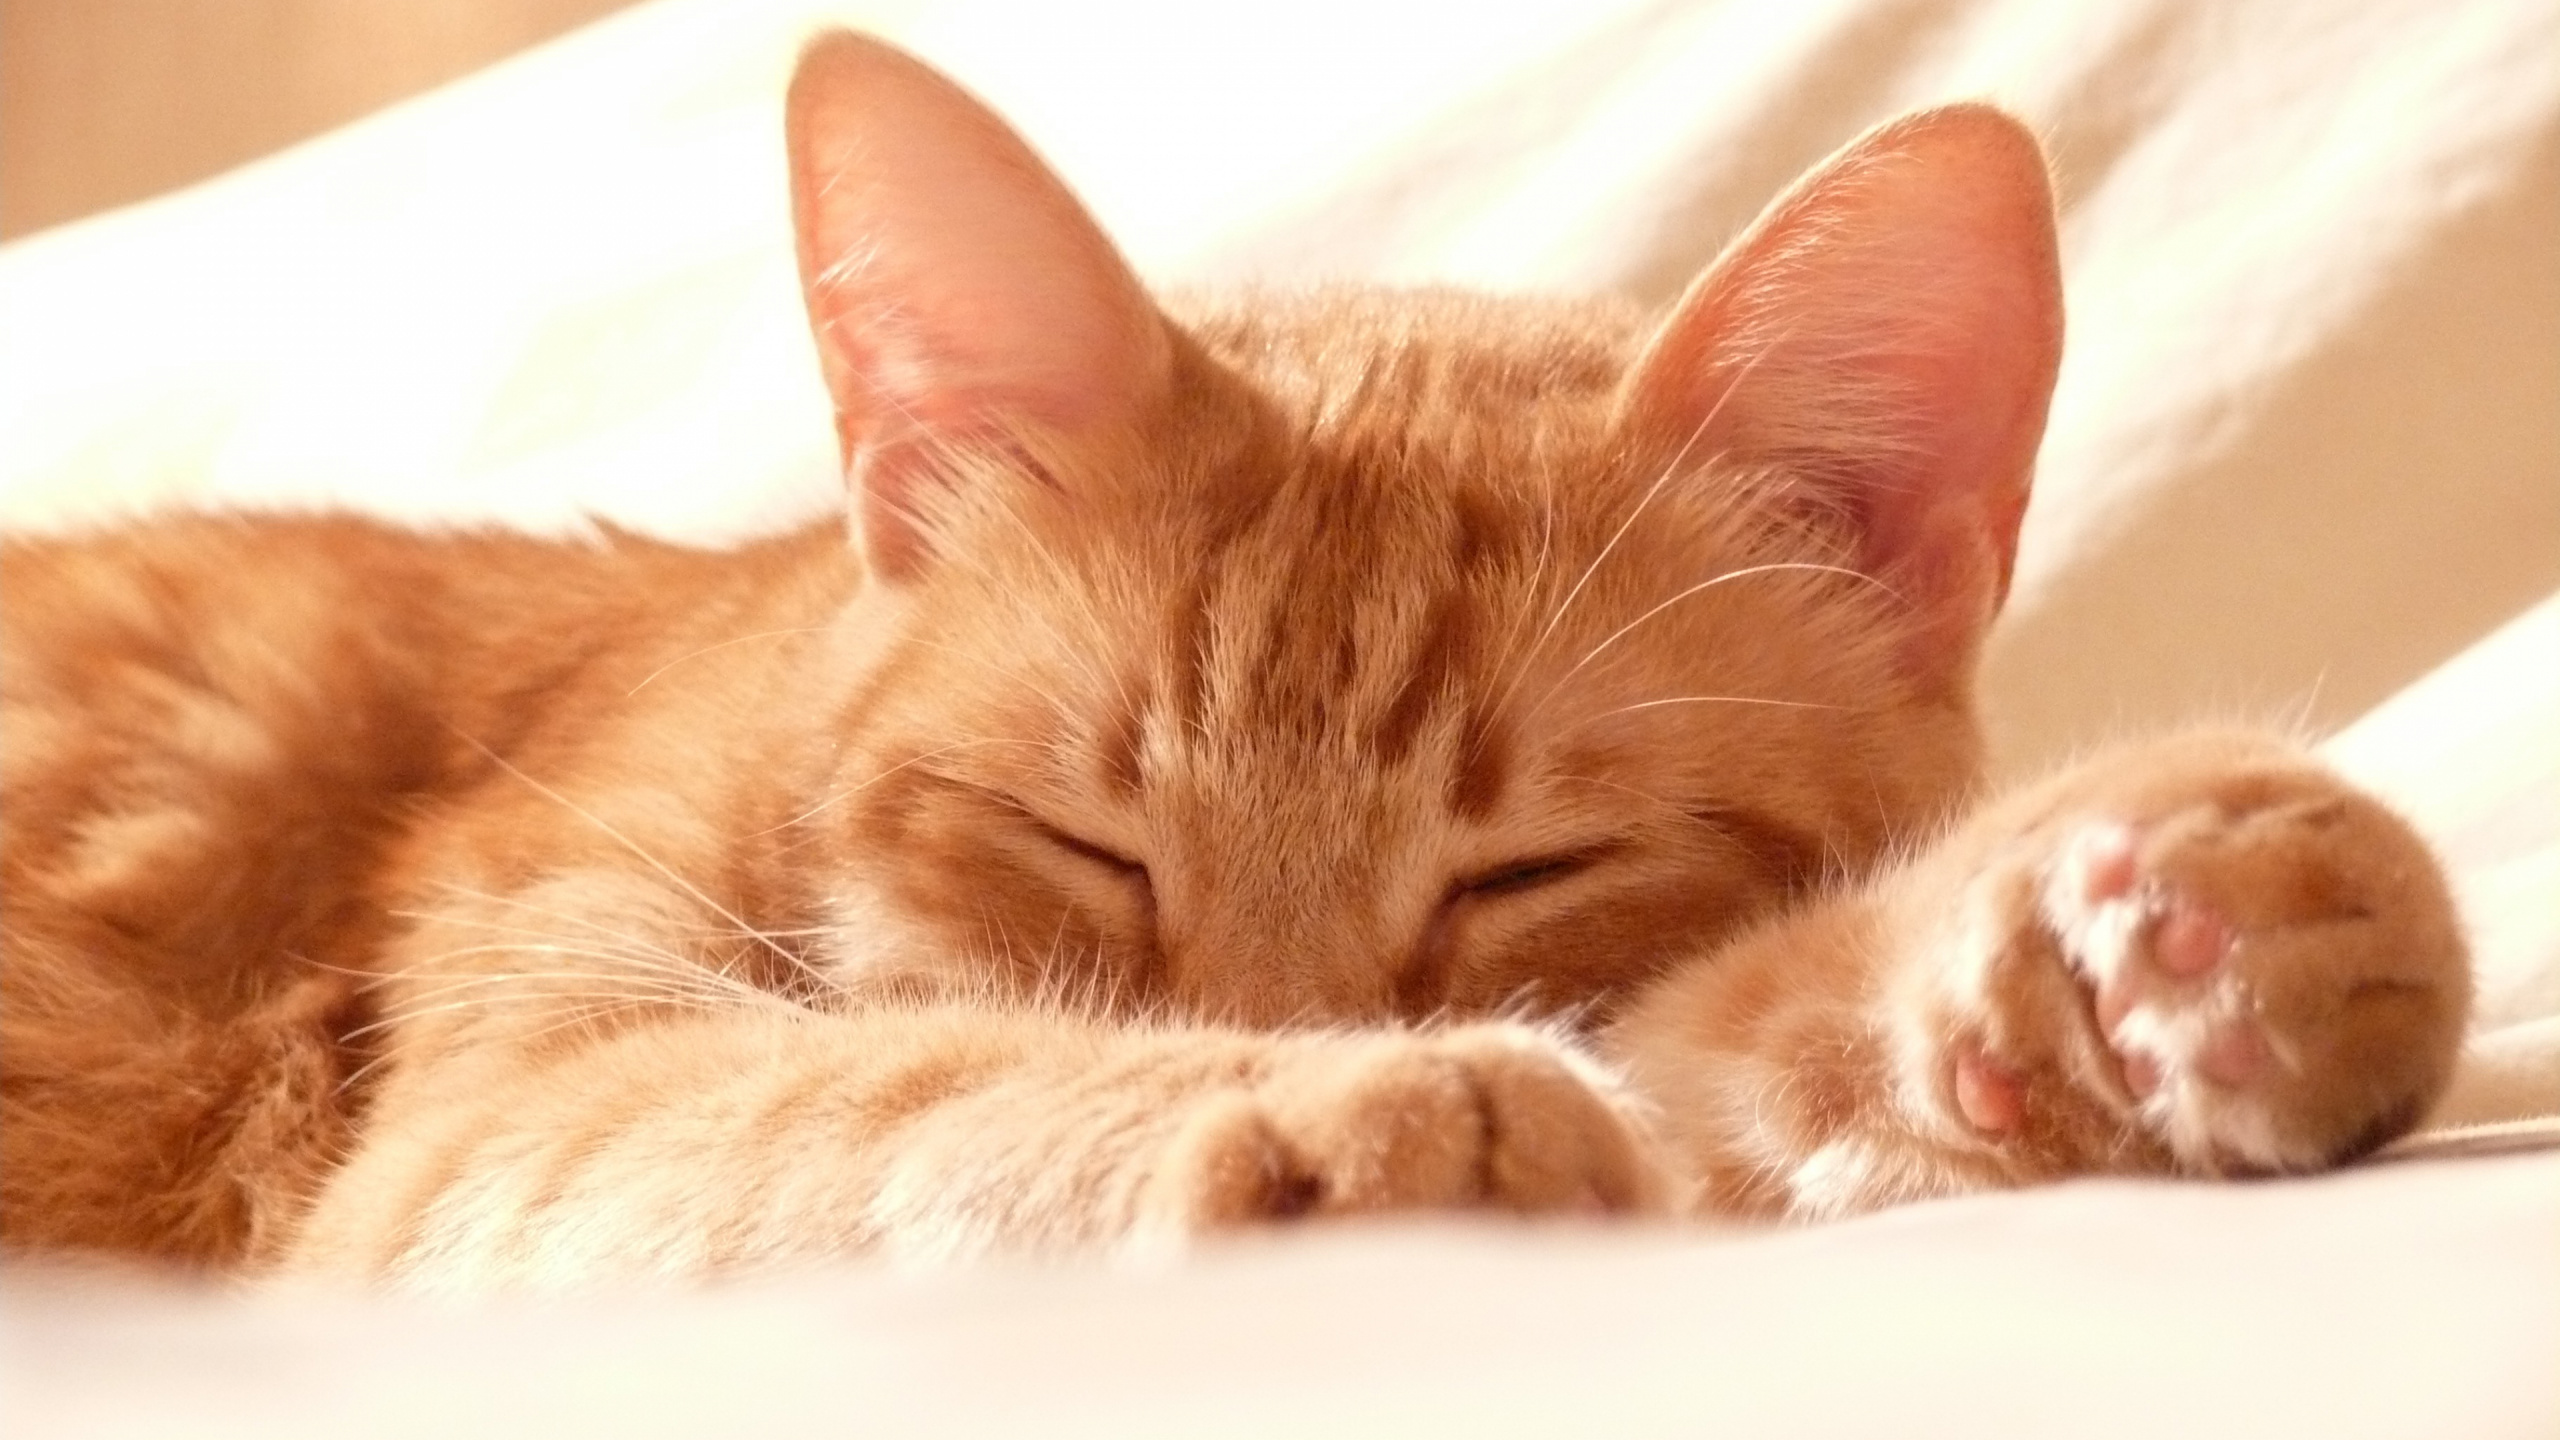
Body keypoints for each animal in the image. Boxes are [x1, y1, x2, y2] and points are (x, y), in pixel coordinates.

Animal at [5, 33, 2478, 1281]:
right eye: (1080, 844)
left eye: (1525, 869)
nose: (1309, 1032)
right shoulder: (501, 1121)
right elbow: (894, 1079)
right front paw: (1343, 1102)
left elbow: (1747, 1036)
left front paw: (2152, 939)